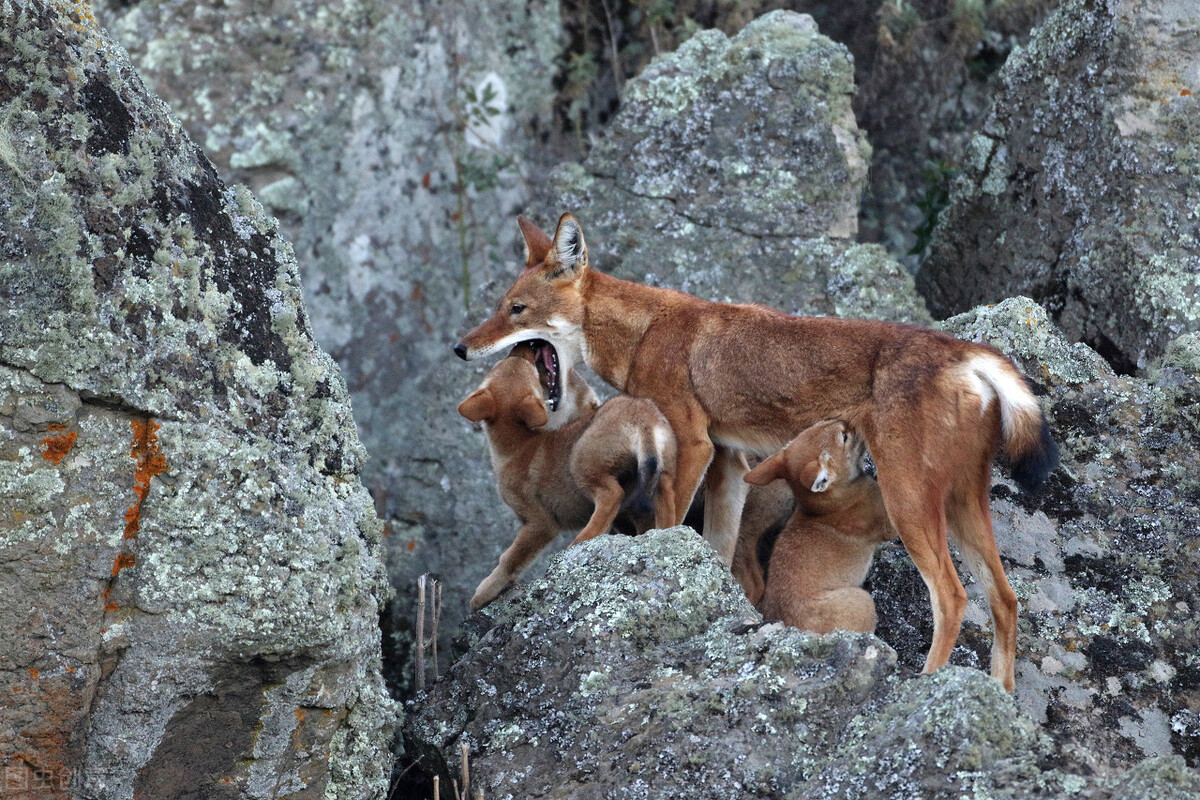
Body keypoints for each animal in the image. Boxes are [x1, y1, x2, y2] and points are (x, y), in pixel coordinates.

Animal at [453, 215, 1056, 690]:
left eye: (516, 309)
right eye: (499, 307)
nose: (460, 347)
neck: (646, 332)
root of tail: (963, 351)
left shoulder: (692, 446)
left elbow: (667, 527)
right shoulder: (729, 463)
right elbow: (720, 551)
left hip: (909, 505)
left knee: (953, 599)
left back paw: (926, 684)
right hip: (961, 508)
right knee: (1005, 600)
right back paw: (1002, 697)